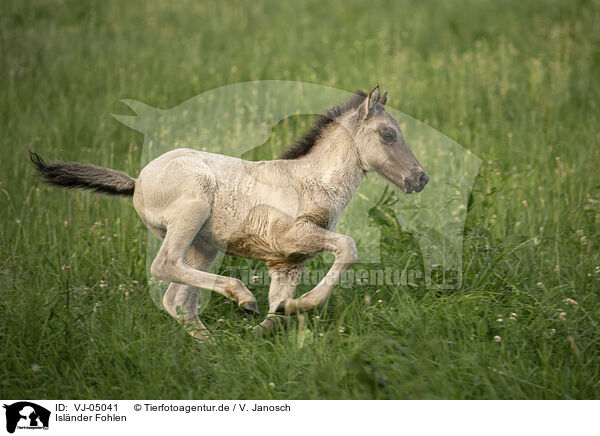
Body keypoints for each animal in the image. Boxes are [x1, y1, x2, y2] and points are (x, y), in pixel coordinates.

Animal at [30, 84, 428, 338]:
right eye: (388, 134)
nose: (420, 178)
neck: (310, 181)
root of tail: (138, 181)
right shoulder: (294, 235)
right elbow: (348, 247)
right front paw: (301, 305)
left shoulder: (286, 262)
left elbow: (278, 305)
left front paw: (277, 319)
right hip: (191, 212)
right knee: (165, 266)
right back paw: (241, 298)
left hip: (202, 245)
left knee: (177, 300)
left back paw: (211, 348)